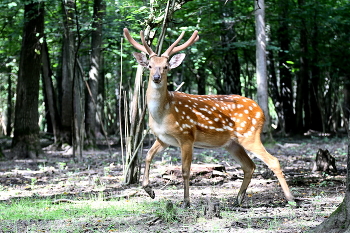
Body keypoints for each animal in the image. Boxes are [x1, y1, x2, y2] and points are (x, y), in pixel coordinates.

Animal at [124, 27, 294, 208]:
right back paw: (237, 199)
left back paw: (291, 199)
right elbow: (147, 156)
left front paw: (186, 202)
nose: (156, 78)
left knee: (273, 161)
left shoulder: (186, 135)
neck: (162, 114)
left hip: (249, 135)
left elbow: (185, 170)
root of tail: (261, 112)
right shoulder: (163, 139)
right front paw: (150, 191)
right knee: (249, 166)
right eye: (150, 66)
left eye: (166, 66)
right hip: (232, 144)